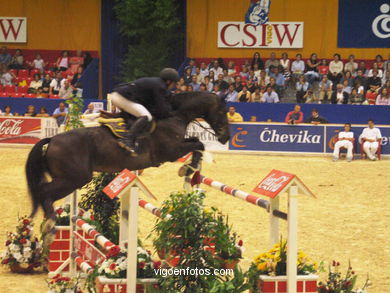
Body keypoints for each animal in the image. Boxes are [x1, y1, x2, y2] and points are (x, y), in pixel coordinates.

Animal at [25, 91, 230, 219]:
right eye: (222, 111)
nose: (226, 137)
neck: (174, 114)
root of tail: (52, 140)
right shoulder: (171, 151)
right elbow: (199, 143)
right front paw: (188, 168)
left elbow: (197, 142)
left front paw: (188, 168)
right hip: (74, 178)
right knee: (44, 192)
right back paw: (49, 225)